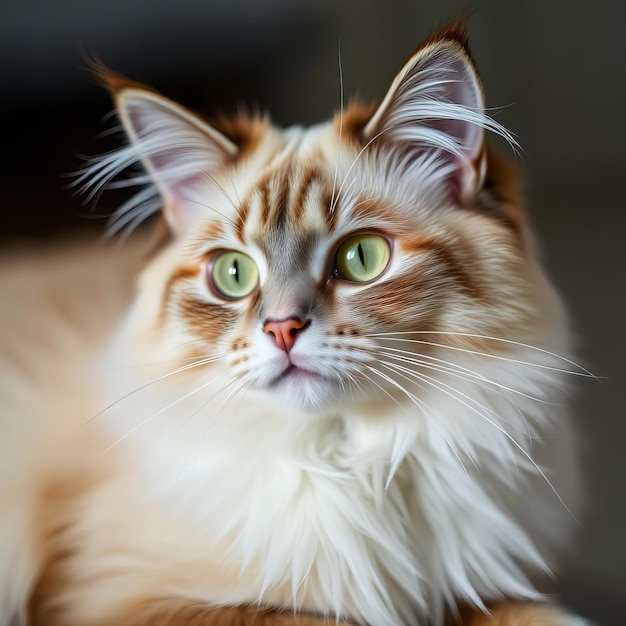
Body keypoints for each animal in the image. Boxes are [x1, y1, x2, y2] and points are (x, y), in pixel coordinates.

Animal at [0, 23, 588, 624]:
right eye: (233, 273)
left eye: (362, 258)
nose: (282, 329)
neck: (356, 466)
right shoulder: (125, 600)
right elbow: (312, 616)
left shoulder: (486, 587)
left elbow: (532, 613)